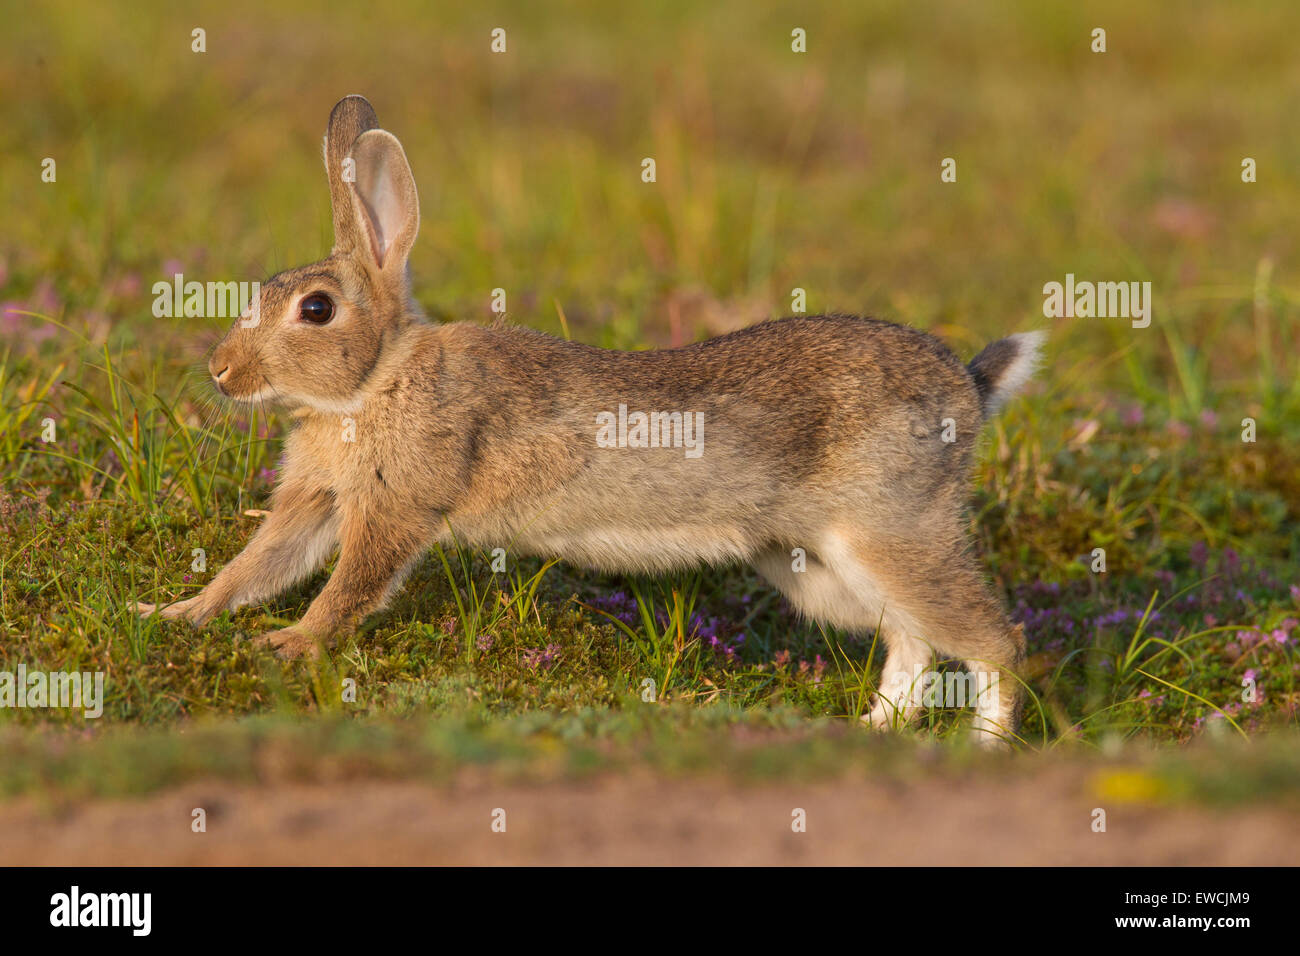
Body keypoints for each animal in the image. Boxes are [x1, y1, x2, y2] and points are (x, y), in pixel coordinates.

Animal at [137, 93, 1040, 743]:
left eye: (316, 309)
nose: (221, 372)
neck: (375, 383)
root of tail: (968, 386)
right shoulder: (315, 500)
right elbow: (253, 568)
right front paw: (173, 616)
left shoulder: (395, 506)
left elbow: (350, 586)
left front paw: (288, 646)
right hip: (822, 568)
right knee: (912, 642)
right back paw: (873, 733)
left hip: (891, 531)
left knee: (995, 642)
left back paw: (983, 750)